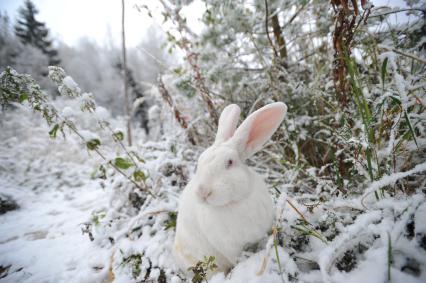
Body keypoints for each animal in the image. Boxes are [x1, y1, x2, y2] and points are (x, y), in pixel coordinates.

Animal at [172, 101, 286, 272]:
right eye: (199, 162)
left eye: (230, 162)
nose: (202, 191)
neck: (236, 202)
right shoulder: (229, 248)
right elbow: (236, 259)